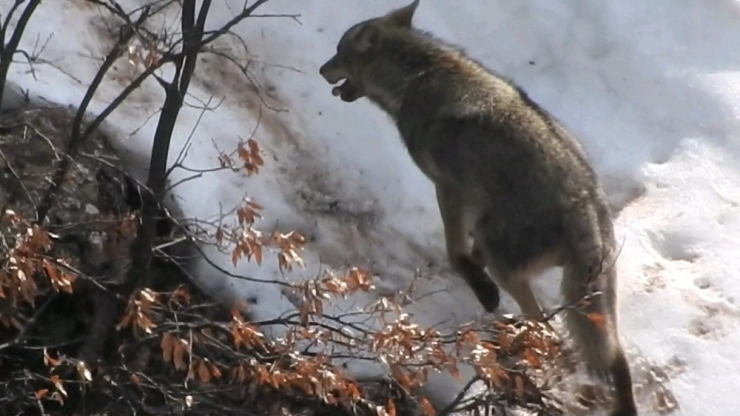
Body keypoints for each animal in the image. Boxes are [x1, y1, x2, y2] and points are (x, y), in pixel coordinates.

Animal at [320, 1, 640, 414]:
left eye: (337, 53)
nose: (321, 69)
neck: (416, 78)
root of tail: (586, 207)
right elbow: (469, 254)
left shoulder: (449, 190)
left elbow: (456, 253)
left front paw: (483, 291)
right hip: (594, 298)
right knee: (609, 355)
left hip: (513, 268)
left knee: (546, 329)